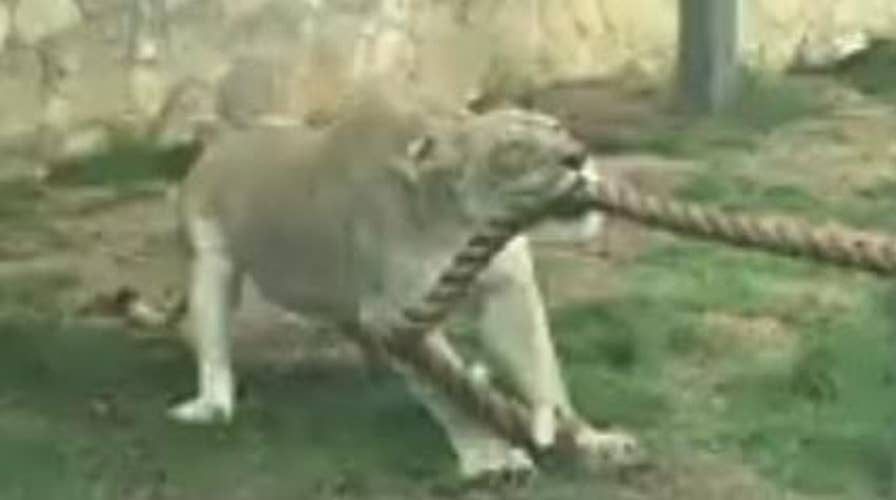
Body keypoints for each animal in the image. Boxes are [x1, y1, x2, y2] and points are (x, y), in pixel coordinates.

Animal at [169, 87, 641, 479]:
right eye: (513, 149)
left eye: (558, 128)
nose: (579, 156)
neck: (457, 222)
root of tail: (223, 133)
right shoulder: (396, 315)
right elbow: (450, 395)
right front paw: (493, 459)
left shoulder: (507, 291)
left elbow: (543, 372)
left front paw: (594, 440)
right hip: (211, 261)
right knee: (214, 346)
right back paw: (210, 408)